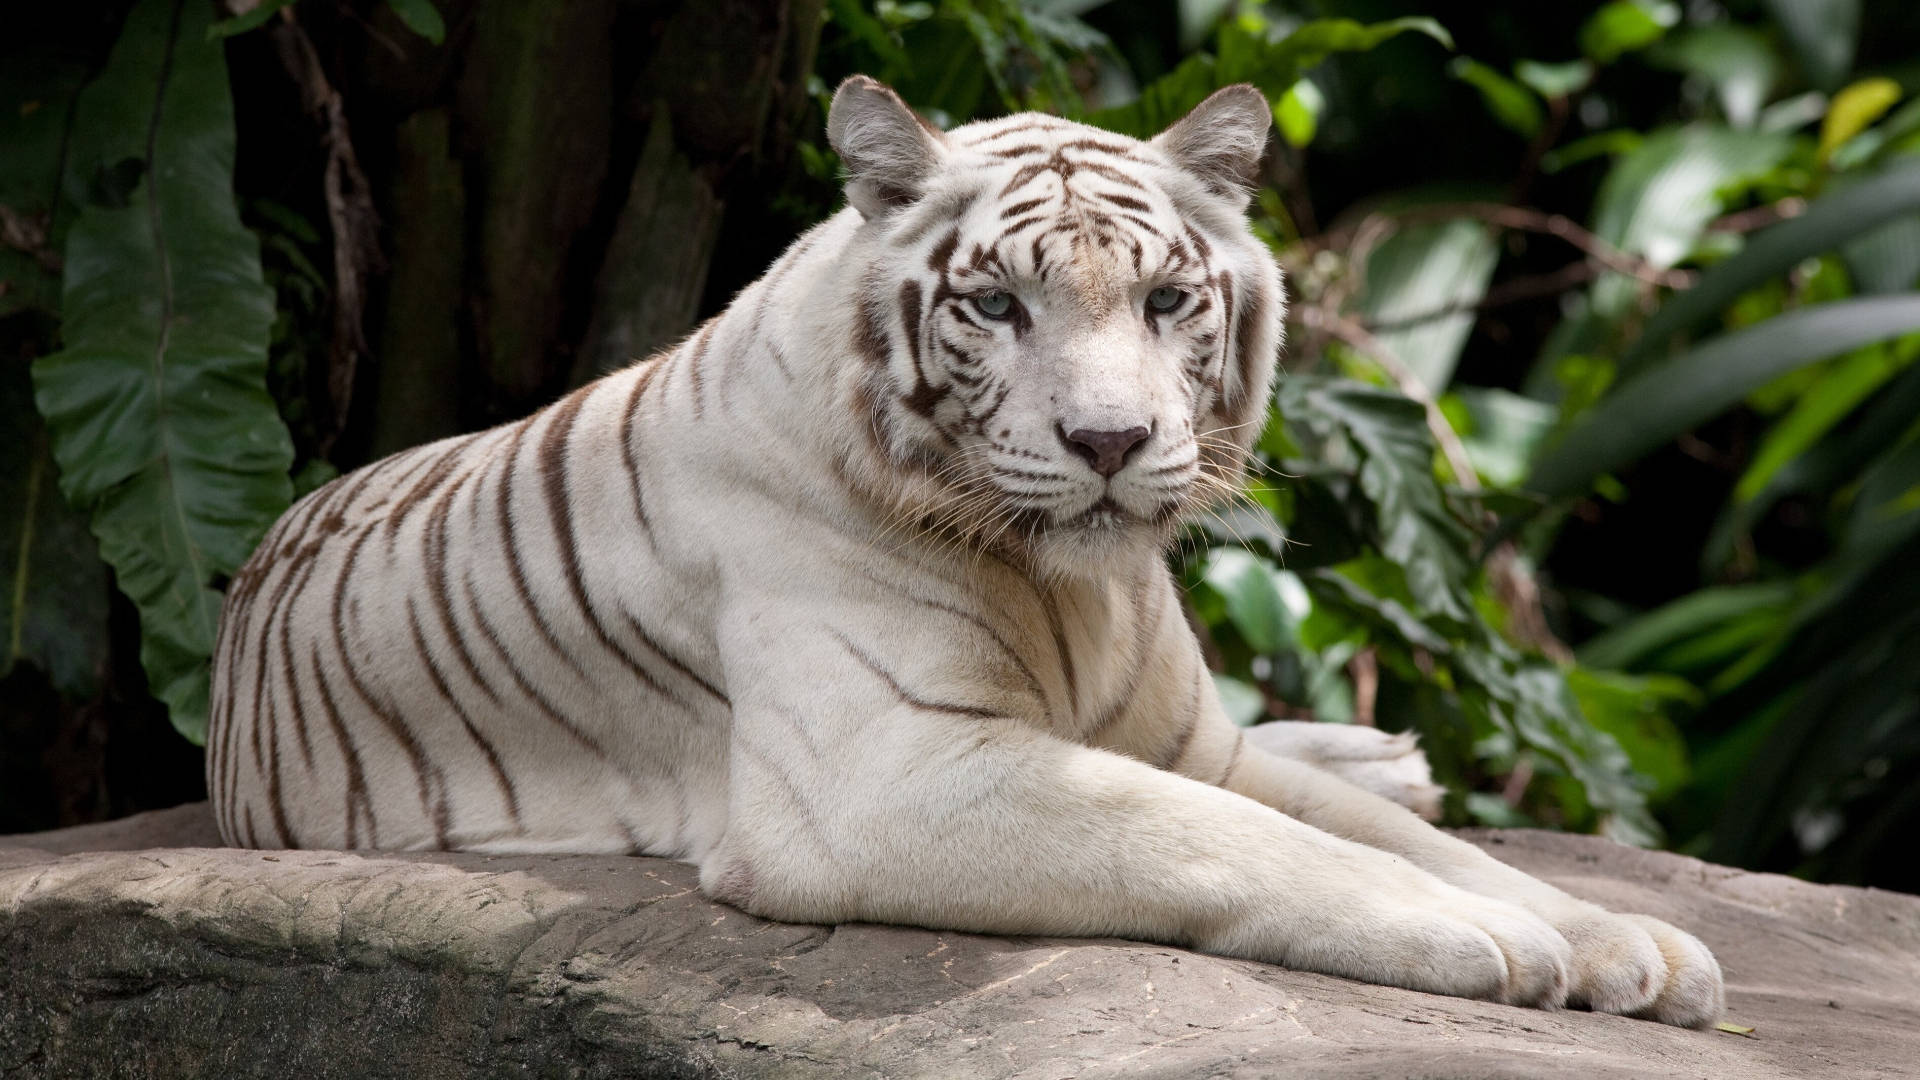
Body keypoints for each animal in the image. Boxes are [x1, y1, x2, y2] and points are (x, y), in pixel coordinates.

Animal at [208, 77, 1724, 1027]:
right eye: (996, 307)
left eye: (1166, 300)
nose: (1111, 440)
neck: (1084, 589)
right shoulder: (881, 776)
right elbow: (1229, 841)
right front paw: (1502, 942)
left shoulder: (1189, 742)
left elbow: (1396, 835)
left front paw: (1625, 940)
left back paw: (1391, 757)